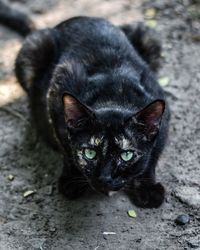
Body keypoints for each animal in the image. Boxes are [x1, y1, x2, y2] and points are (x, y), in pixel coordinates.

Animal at [14, 15, 170, 207]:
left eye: (126, 155)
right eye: (90, 153)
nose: (104, 178)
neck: (113, 95)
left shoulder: (162, 113)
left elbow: (153, 156)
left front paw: (148, 187)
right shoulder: (58, 89)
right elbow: (67, 149)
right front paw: (71, 180)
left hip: (149, 36)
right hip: (33, 48)